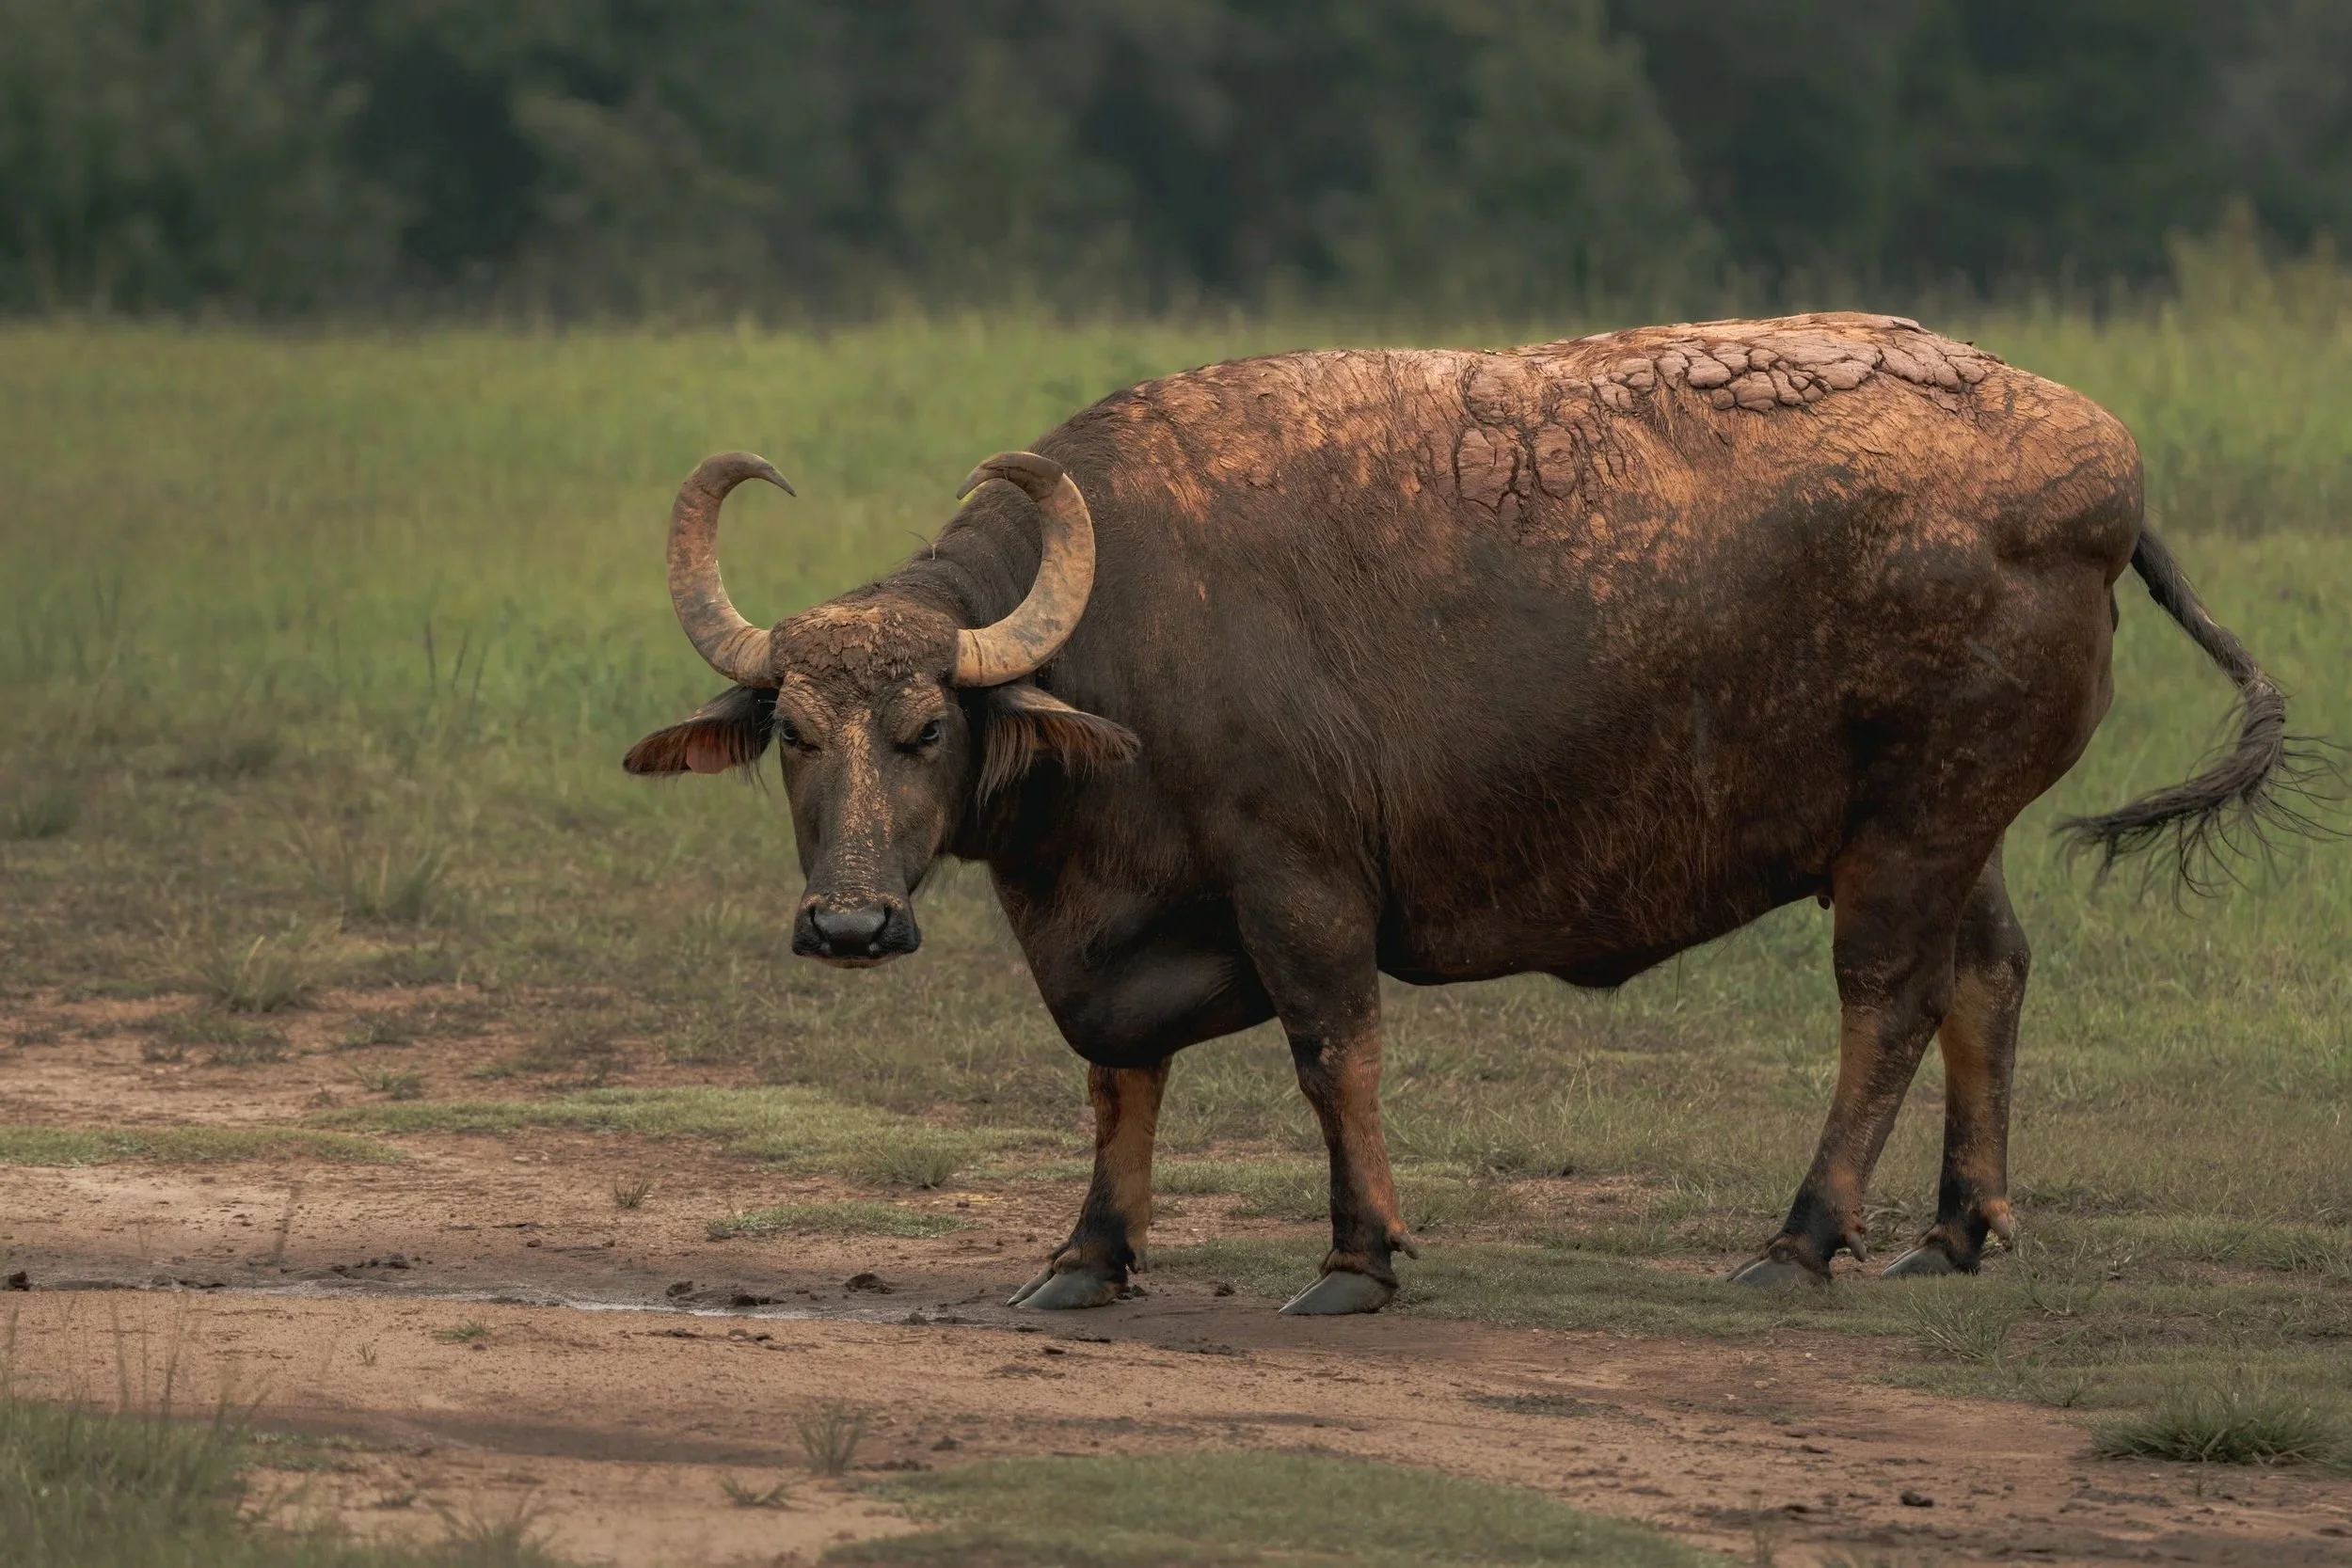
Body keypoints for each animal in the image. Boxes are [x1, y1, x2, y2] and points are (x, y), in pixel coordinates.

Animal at [626, 312, 2326, 1313]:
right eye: (795, 736)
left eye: (927, 729)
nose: (852, 922)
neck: (1120, 638)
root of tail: (2102, 472)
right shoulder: (1115, 925)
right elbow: (1118, 1073)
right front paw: (1087, 1256)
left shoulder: (1299, 875)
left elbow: (1332, 1049)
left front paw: (1359, 1254)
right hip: (1948, 821)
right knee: (1990, 972)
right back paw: (1960, 1223)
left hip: (1915, 819)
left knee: (1889, 1000)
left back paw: (1802, 1234)